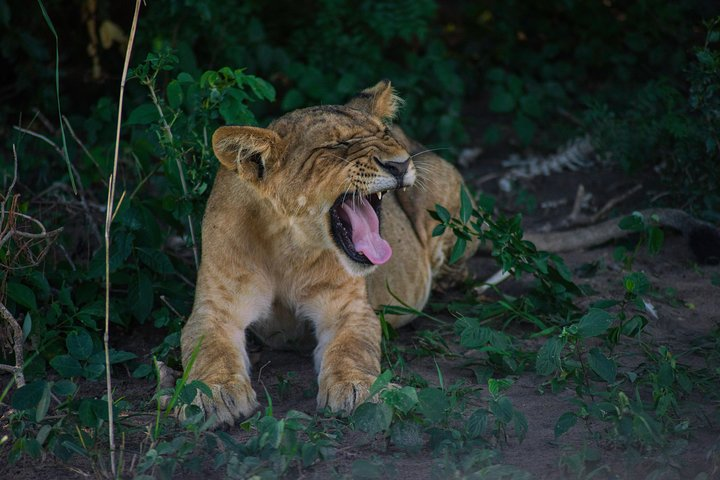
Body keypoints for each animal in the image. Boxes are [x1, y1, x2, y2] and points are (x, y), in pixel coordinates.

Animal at [180, 80, 476, 426]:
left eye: (385, 134)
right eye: (338, 145)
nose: (401, 163)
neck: (288, 244)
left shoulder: (349, 309)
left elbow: (351, 349)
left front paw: (357, 388)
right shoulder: (215, 309)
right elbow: (209, 352)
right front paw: (213, 395)